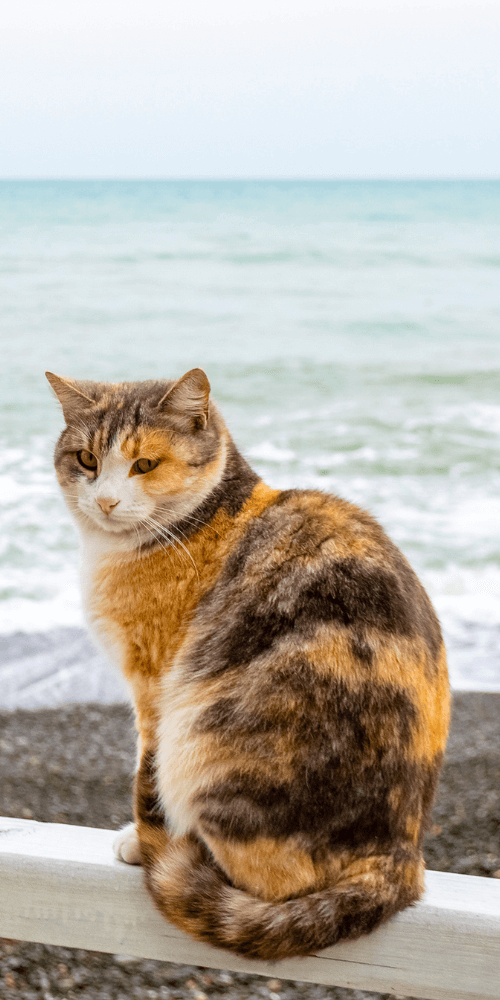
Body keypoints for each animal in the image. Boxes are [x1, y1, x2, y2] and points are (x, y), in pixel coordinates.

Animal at [47, 368, 452, 960]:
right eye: (87, 460)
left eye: (144, 464)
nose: (106, 501)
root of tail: (401, 858)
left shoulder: (154, 682)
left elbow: (146, 772)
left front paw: (139, 840)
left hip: (205, 736)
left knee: (268, 880)